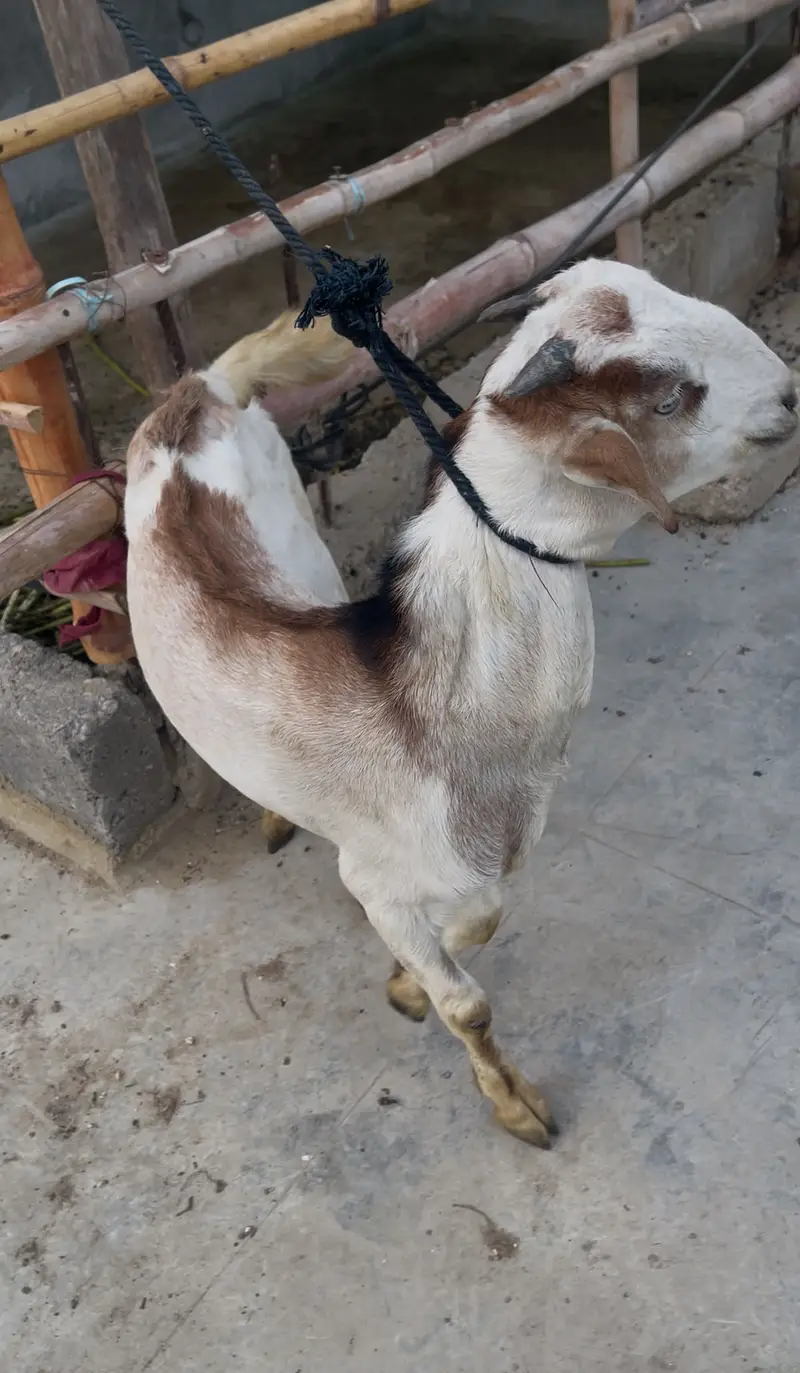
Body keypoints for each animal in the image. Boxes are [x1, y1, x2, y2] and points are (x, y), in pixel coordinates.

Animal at [124, 260, 797, 1147]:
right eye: (669, 400)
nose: (789, 393)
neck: (428, 710)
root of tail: (195, 393)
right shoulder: (374, 874)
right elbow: (468, 1001)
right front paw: (514, 1103)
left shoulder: (474, 868)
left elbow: (483, 916)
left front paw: (408, 981)